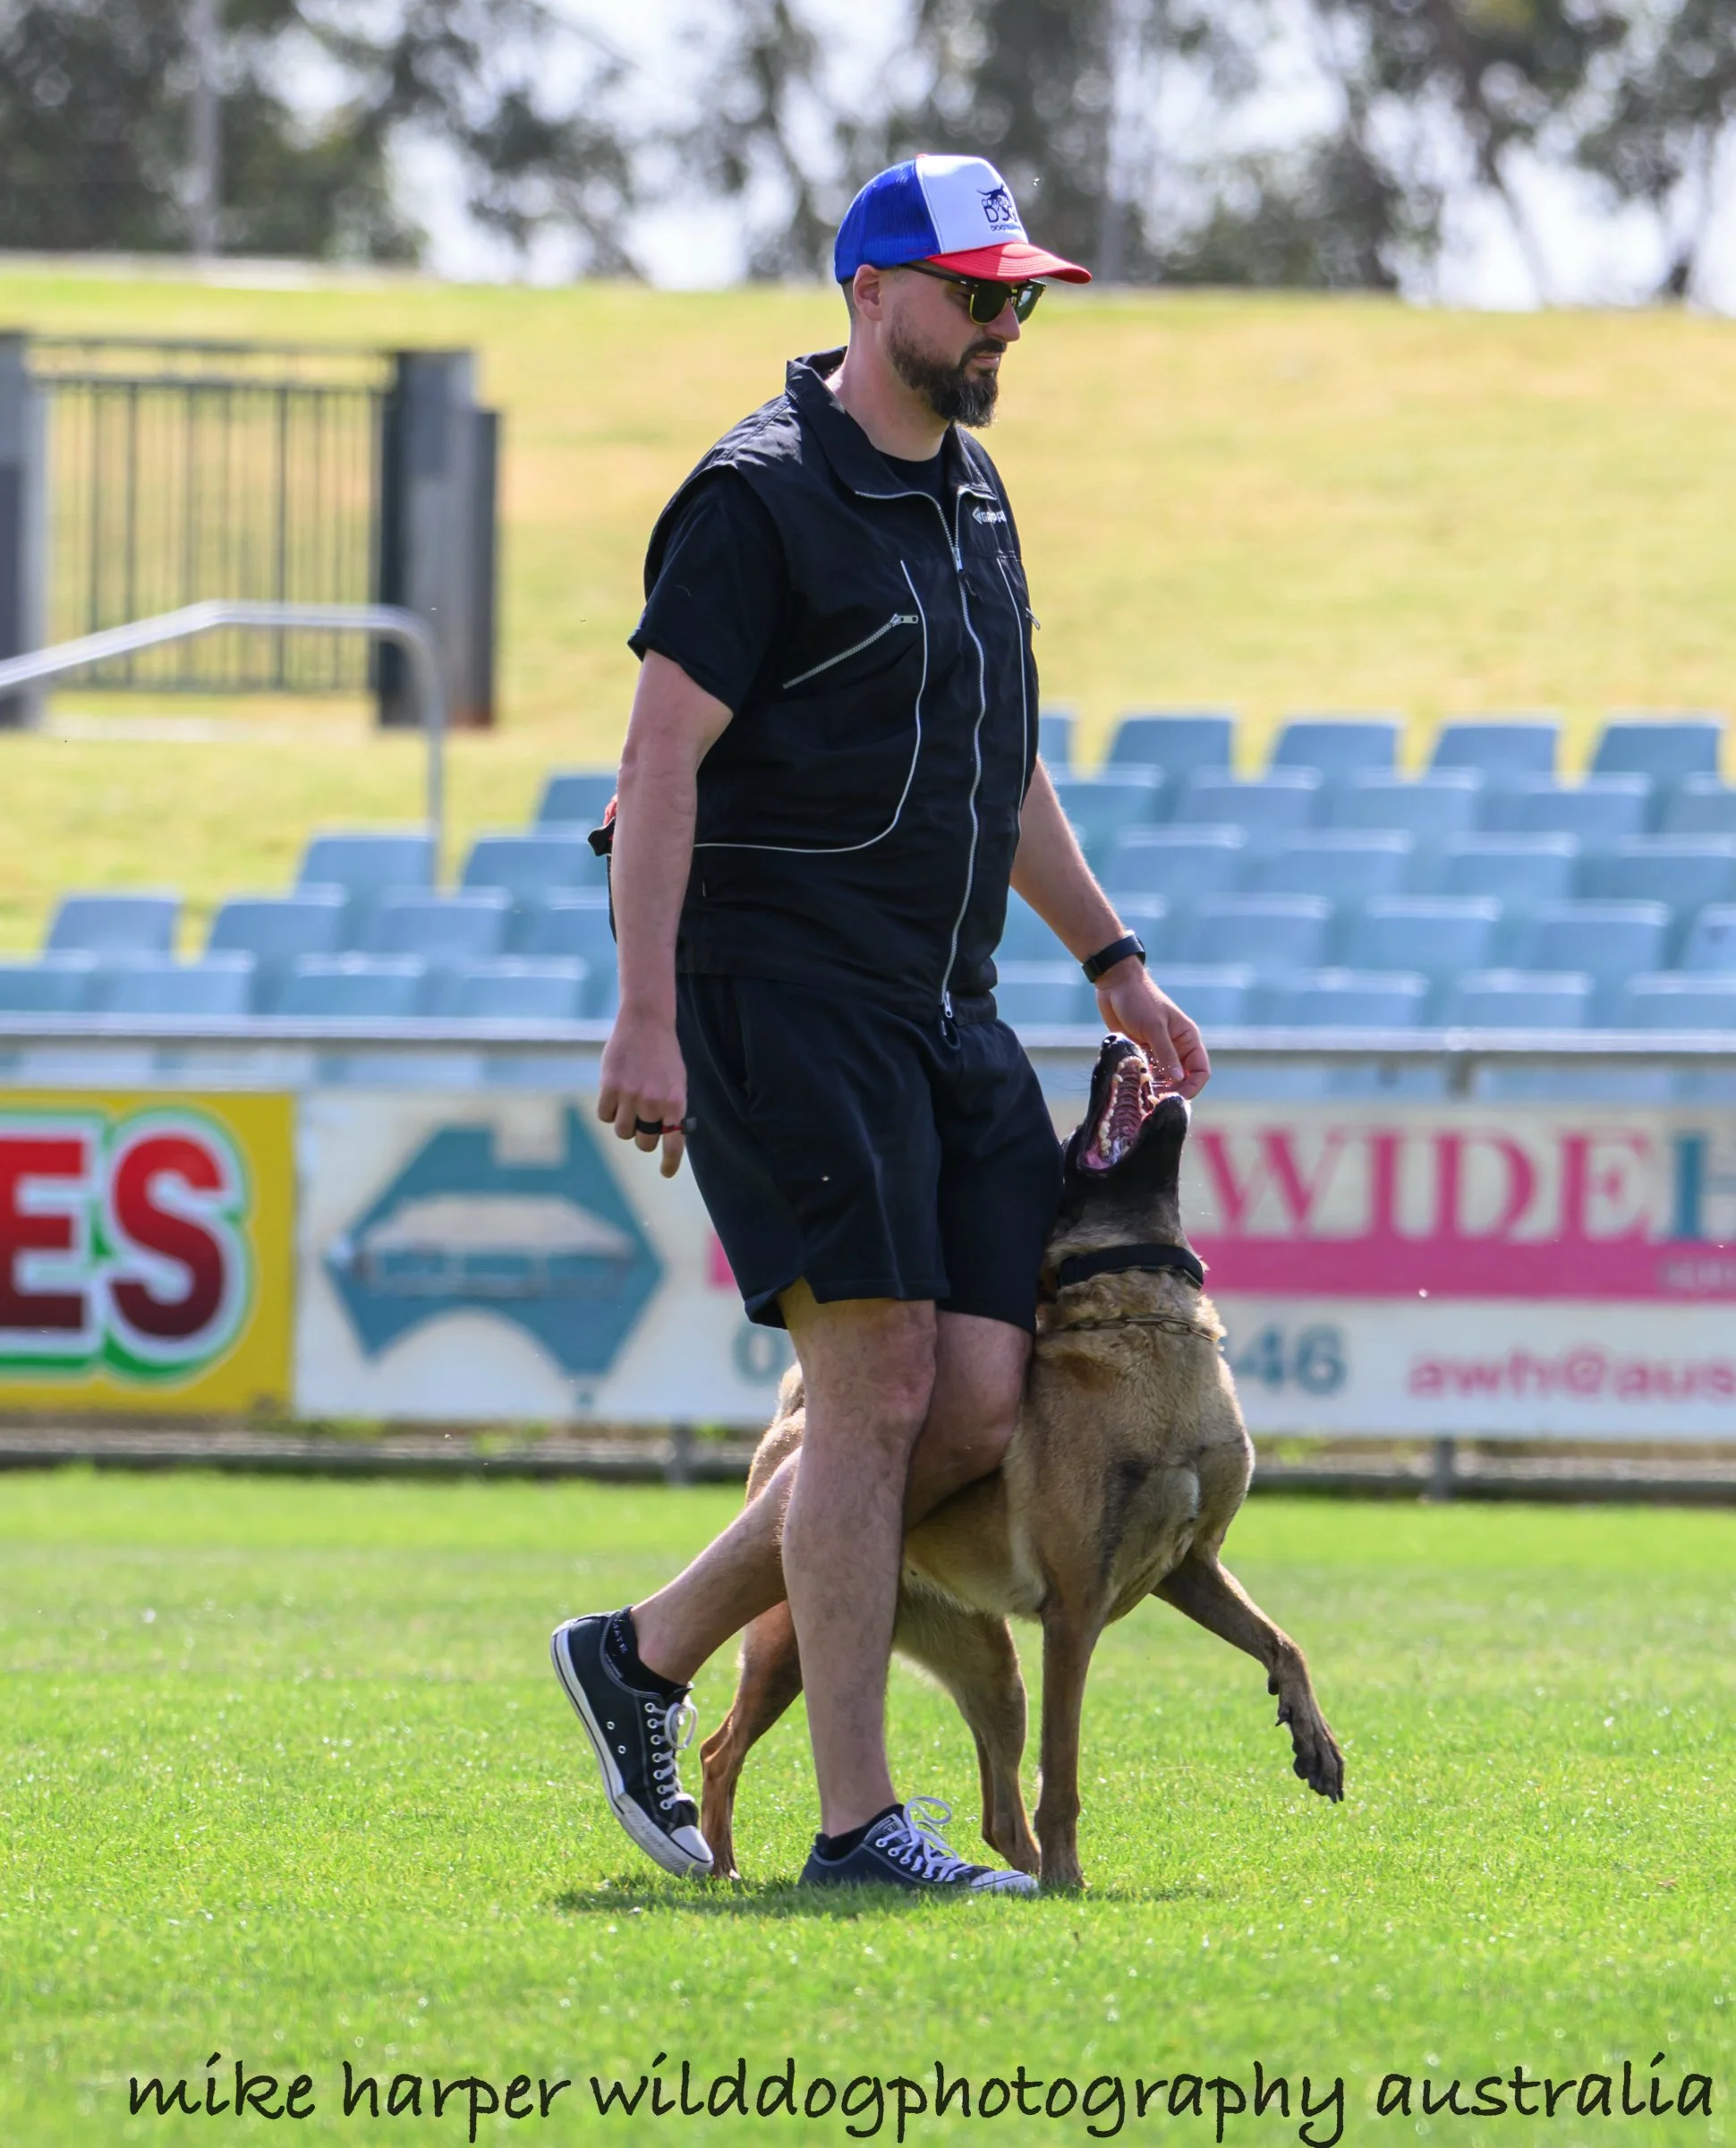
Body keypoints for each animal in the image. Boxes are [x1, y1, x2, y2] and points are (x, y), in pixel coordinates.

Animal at [700, 1033, 1344, 1890]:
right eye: (1072, 1147)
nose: (1113, 1038)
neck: (1143, 1319)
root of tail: (797, 1420)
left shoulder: (1192, 1568)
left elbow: (1284, 1643)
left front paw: (1314, 1739)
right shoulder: (1073, 1616)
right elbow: (1062, 1772)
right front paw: (1072, 1881)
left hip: (992, 1670)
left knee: (999, 1814)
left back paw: (1015, 1883)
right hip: (793, 1647)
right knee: (719, 1750)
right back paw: (719, 1864)